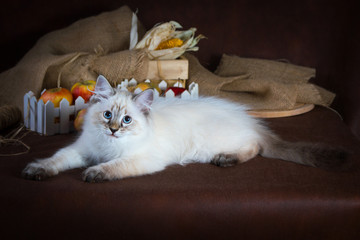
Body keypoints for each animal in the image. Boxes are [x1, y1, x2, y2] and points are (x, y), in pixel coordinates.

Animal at [21, 75, 346, 182]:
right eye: (108, 115)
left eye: (127, 121)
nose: (113, 130)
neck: (108, 146)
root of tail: (249, 119)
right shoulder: (81, 150)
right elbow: (55, 161)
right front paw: (36, 171)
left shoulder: (141, 159)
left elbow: (112, 167)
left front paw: (94, 174)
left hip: (209, 144)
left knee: (254, 147)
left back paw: (226, 159)